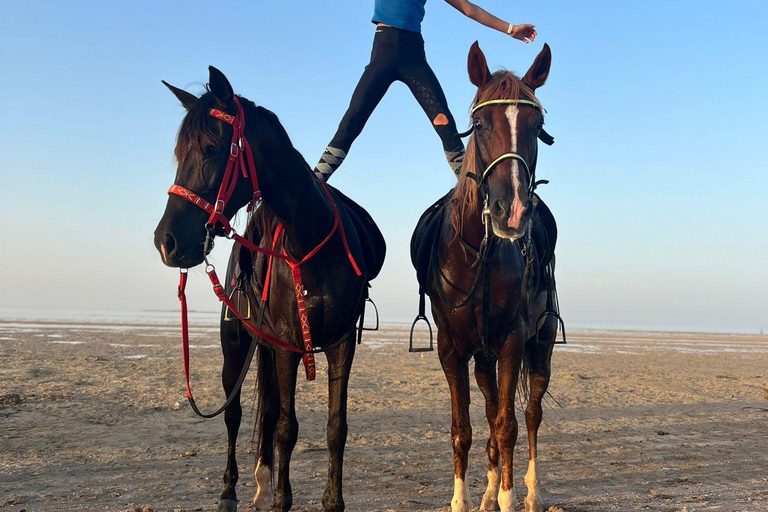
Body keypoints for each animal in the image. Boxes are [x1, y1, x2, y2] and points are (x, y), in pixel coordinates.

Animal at [154, 66, 385, 512]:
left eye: (210, 149)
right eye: (178, 153)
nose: (166, 241)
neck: (309, 241)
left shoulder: (339, 344)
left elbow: (335, 427)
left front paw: (331, 500)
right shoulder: (287, 346)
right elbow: (285, 428)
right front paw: (281, 499)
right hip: (237, 348)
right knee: (235, 415)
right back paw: (232, 491)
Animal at [411, 42, 560, 512]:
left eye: (538, 126)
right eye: (478, 123)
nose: (511, 212)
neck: (479, 254)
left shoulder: (513, 340)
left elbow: (509, 425)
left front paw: (510, 497)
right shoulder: (453, 350)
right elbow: (465, 428)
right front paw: (464, 498)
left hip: (541, 343)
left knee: (529, 414)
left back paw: (529, 490)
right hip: (482, 358)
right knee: (493, 412)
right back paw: (490, 490)